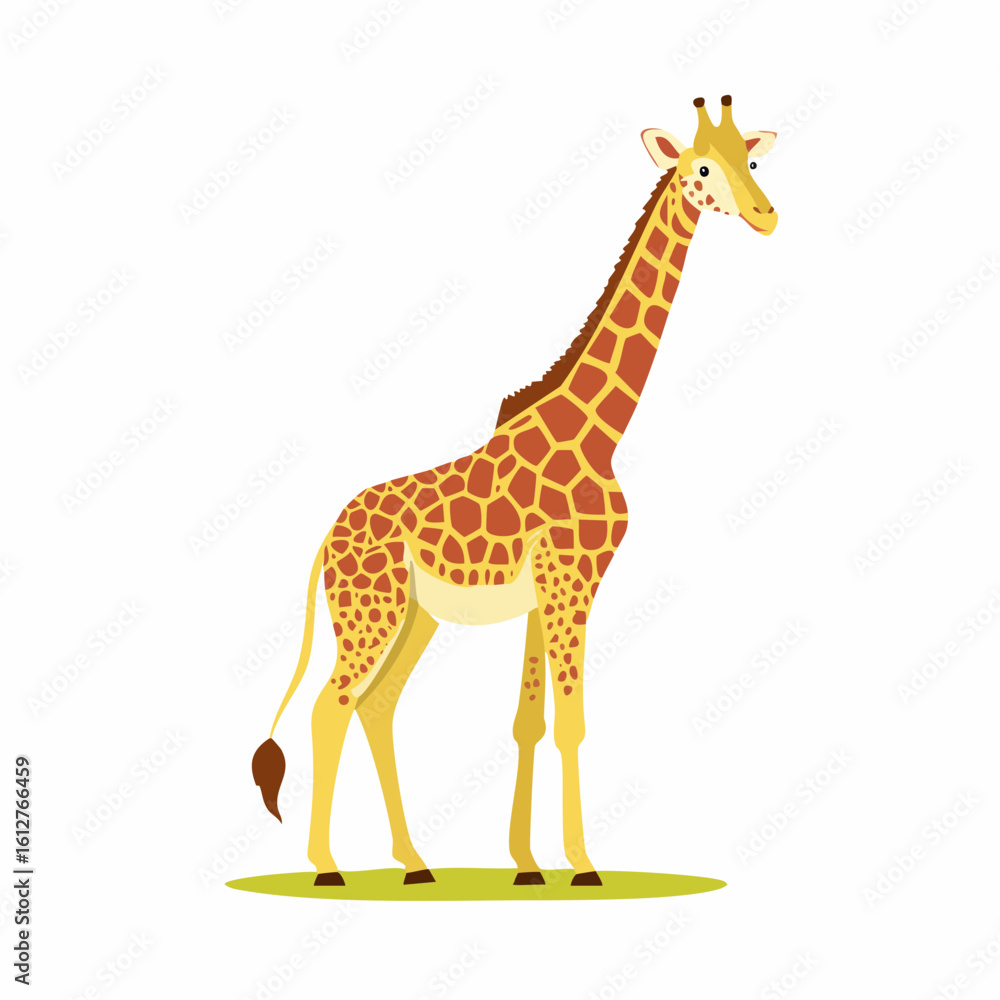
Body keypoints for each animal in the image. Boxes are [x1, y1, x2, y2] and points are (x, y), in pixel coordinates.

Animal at [252, 96, 778, 888]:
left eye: (751, 159)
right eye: (702, 168)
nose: (765, 215)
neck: (599, 431)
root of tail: (326, 540)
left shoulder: (545, 592)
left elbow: (530, 720)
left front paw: (529, 864)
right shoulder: (572, 582)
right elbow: (570, 719)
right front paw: (583, 865)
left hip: (416, 617)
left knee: (377, 705)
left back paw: (415, 862)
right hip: (371, 612)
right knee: (330, 705)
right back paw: (328, 866)